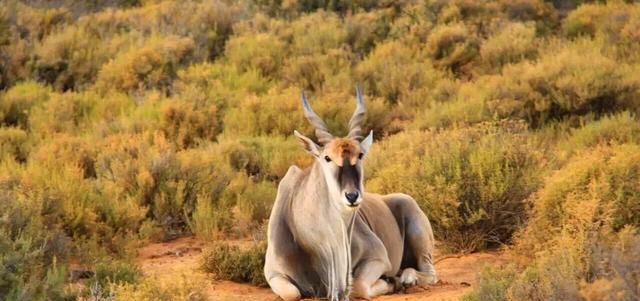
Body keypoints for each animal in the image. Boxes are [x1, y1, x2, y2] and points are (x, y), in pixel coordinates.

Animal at [262, 88, 438, 298]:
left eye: (360, 155)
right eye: (327, 157)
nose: (352, 196)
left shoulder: (377, 258)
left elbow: (359, 286)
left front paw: (391, 281)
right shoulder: (274, 274)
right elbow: (292, 293)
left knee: (428, 273)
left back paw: (405, 278)